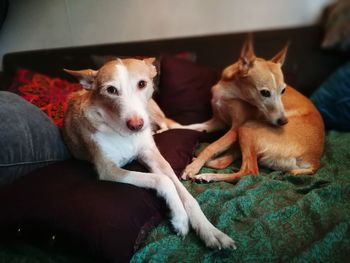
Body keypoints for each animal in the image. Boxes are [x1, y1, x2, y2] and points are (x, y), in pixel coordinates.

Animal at [63, 58, 237, 252]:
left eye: (142, 84)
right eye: (111, 90)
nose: (136, 125)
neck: (124, 133)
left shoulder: (153, 156)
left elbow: (185, 193)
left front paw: (209, 230)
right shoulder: (109, 170)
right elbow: (163, 181)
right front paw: (180, 218)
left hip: (152, 111)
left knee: (168, 125)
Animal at [180, 38, 326, 183]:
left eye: (283, 90)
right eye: (265, 93)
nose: (284, 122)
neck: (230, 92)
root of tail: (314, 162)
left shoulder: (235, 129)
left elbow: (212, 147)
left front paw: (193, 168)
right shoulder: (218, 121)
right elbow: (193, 126)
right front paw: (175, 127)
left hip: (246, 128)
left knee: (249, 172)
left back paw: (207, 175)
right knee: (224, 162)